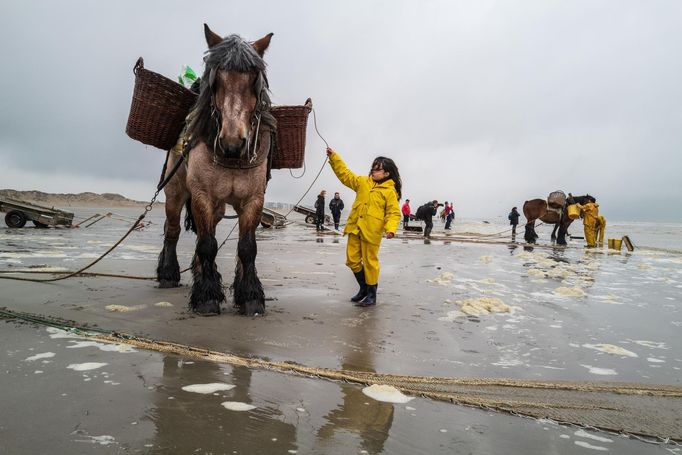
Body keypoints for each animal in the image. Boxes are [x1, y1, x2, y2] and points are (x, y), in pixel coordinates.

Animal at [157, 25, 276, 318]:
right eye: (216, 81)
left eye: (254, 80)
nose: (233, 143)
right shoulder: (201, 195)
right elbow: (208, 245)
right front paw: (207, 298)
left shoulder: (253, 199)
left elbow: (247, 247)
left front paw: (250, 297)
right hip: (175, 192)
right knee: (172, 229)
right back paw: (167, 274)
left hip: (219, 207)